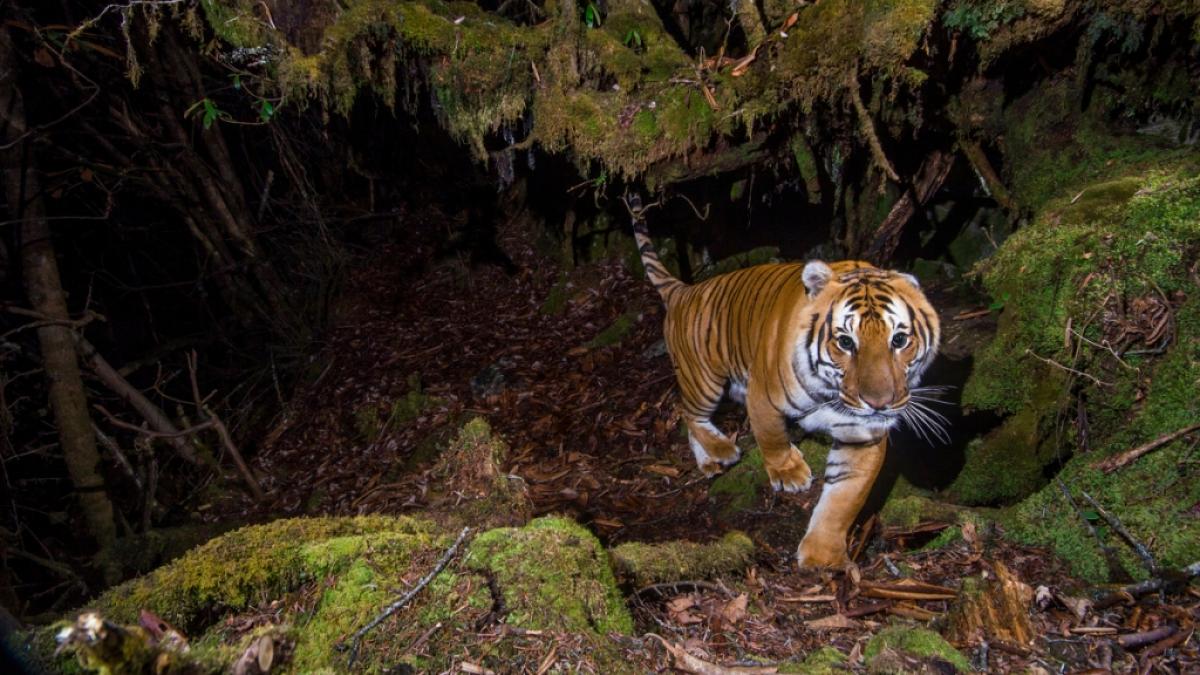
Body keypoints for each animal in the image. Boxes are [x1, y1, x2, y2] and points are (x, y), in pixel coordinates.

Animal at [628, 195, 943, 569]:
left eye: (899, 339)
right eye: (845, 342)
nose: (879, 403)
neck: (832, 392)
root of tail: (684, 291)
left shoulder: (863, 433)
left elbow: (845, 497)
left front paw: (822, 556)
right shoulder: (763, 395)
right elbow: (771, 437)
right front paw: (789, 474)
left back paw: (709, 461)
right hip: (705, 380)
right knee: (688, 411)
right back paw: (721, 449)